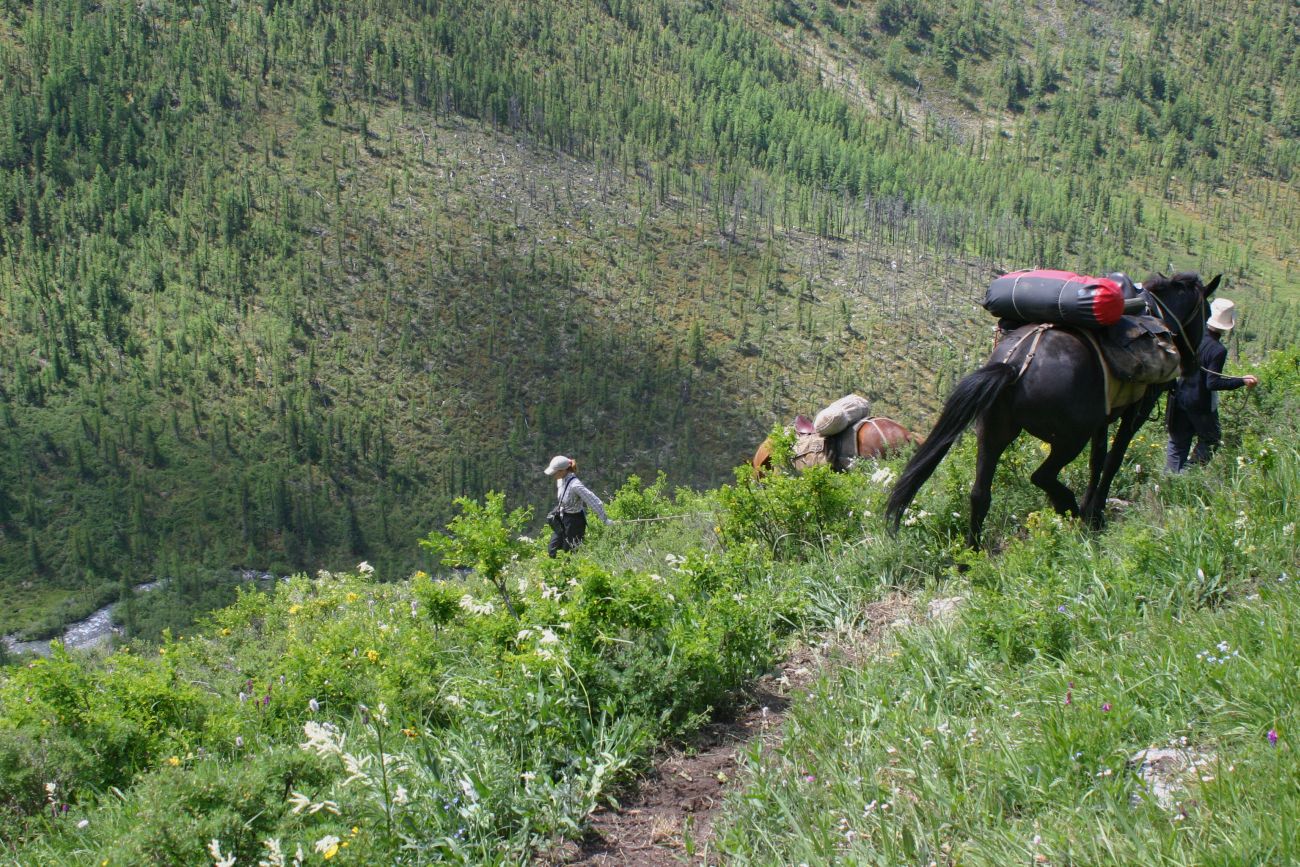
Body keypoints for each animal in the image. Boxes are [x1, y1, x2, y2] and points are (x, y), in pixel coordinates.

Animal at [883, 271, 1216, 545]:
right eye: (1207, 312)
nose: (1192, 364)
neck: (1157, 314)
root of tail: (1014, 364)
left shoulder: (1103, 419)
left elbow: (1097, 460)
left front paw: (1091, 508)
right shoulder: (1136, 411)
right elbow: (1112, 460)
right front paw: (1094, 512)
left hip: (992, 432)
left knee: (980, 493)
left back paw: (971, 556)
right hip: (1068, 439)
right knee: (1040, 476)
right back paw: (1068, 508)